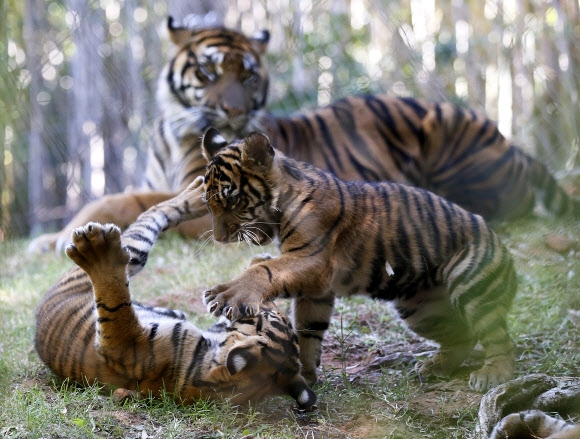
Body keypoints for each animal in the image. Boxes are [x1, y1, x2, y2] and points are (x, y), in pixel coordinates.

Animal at [28, 18, 580, 254]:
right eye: (209, 71)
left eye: (249, 75)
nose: (233, 110)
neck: (171, 127)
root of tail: (514, 146)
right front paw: (53, 238)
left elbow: (120, 199)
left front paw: (61, 238)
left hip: (443, 126)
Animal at [35, 177, 318, 410]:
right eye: (274, 313)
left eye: (264, 316)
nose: (264, 303)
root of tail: (39, 313)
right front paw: (260, 261)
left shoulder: (122, 342)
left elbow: (115, 302)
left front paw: (101, 260)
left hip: (131, 253)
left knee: (151, 217)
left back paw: (97, 245)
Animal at [202, 129, 520, 394]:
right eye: (208, 203)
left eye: (231, 200)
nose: (219, 237)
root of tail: (502, 246)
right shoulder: (317, 288)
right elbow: (309, 330)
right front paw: (306, 373)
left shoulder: (313, 259)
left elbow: (266, 271)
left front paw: (226, 294)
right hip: (419, 309)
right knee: (462, 337)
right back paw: (433, 367)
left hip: (470, 285)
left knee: (498, 337)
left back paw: (493, 374)